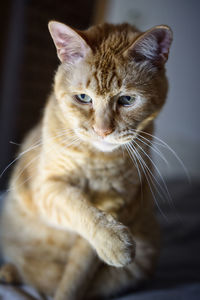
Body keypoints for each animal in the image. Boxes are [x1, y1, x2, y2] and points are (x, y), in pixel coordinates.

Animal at [0, 21, 172, 300]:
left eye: (127, 99)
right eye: (83, 97)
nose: (103, 131)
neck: (97, 159)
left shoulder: (116, 201)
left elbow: (77, 274)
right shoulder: (47, 187)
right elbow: (79, 207)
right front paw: (116, 242)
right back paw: (9, 272)